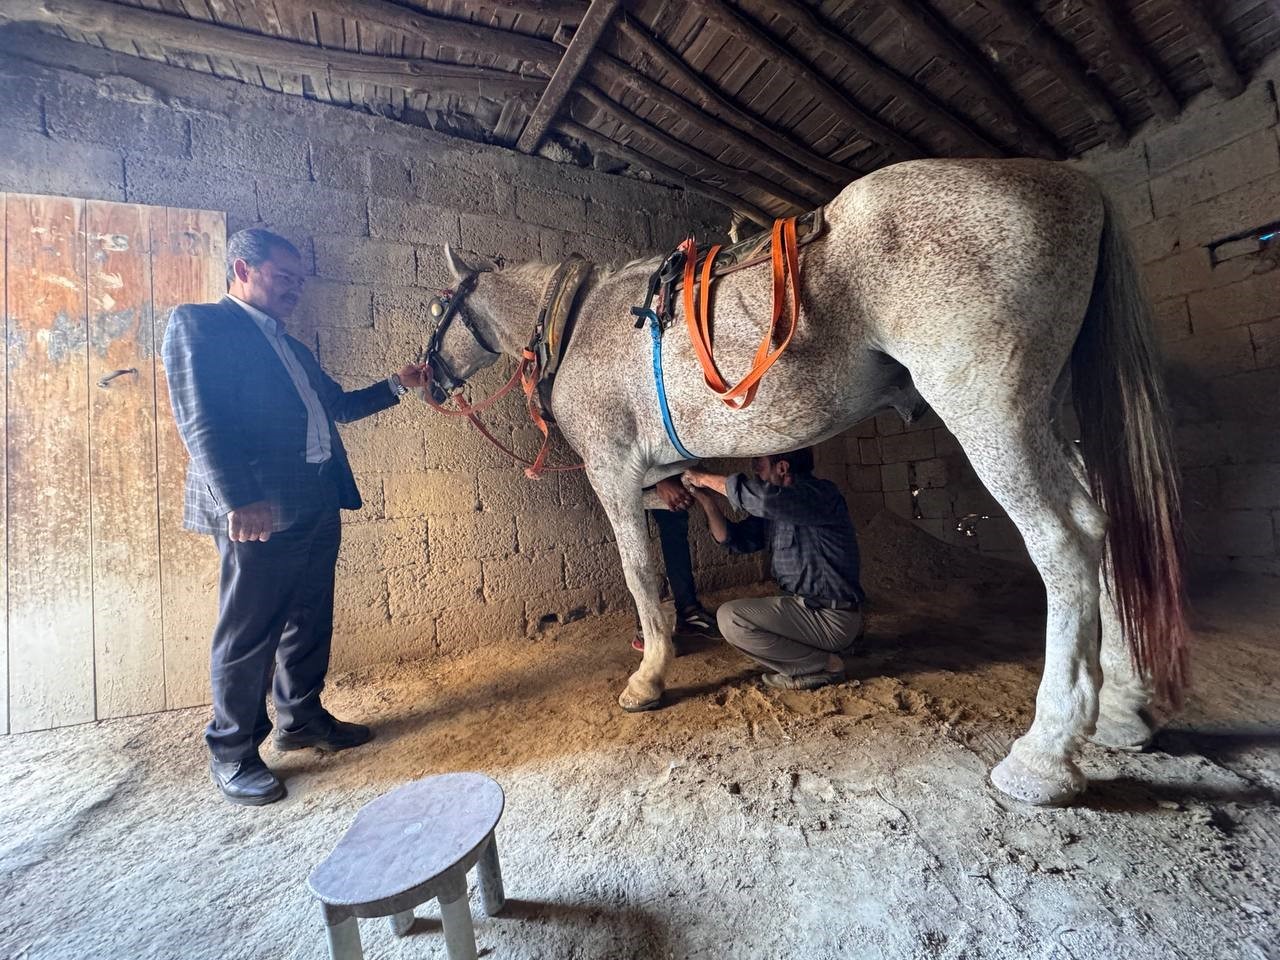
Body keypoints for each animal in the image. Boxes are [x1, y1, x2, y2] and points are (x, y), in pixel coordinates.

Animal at [422, 161, 1187, 808]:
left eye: (434, 310)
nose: (421, 381)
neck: (580, 322)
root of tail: (1069, 181)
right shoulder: (657, 476)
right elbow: (673, 550)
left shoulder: (614, 472)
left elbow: (640, 572)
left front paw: (650, 676)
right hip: (1047, 412)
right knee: (1106, 521)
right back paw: (1123, 707)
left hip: (993, 412)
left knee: (1067, 539)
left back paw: (1046, 754)